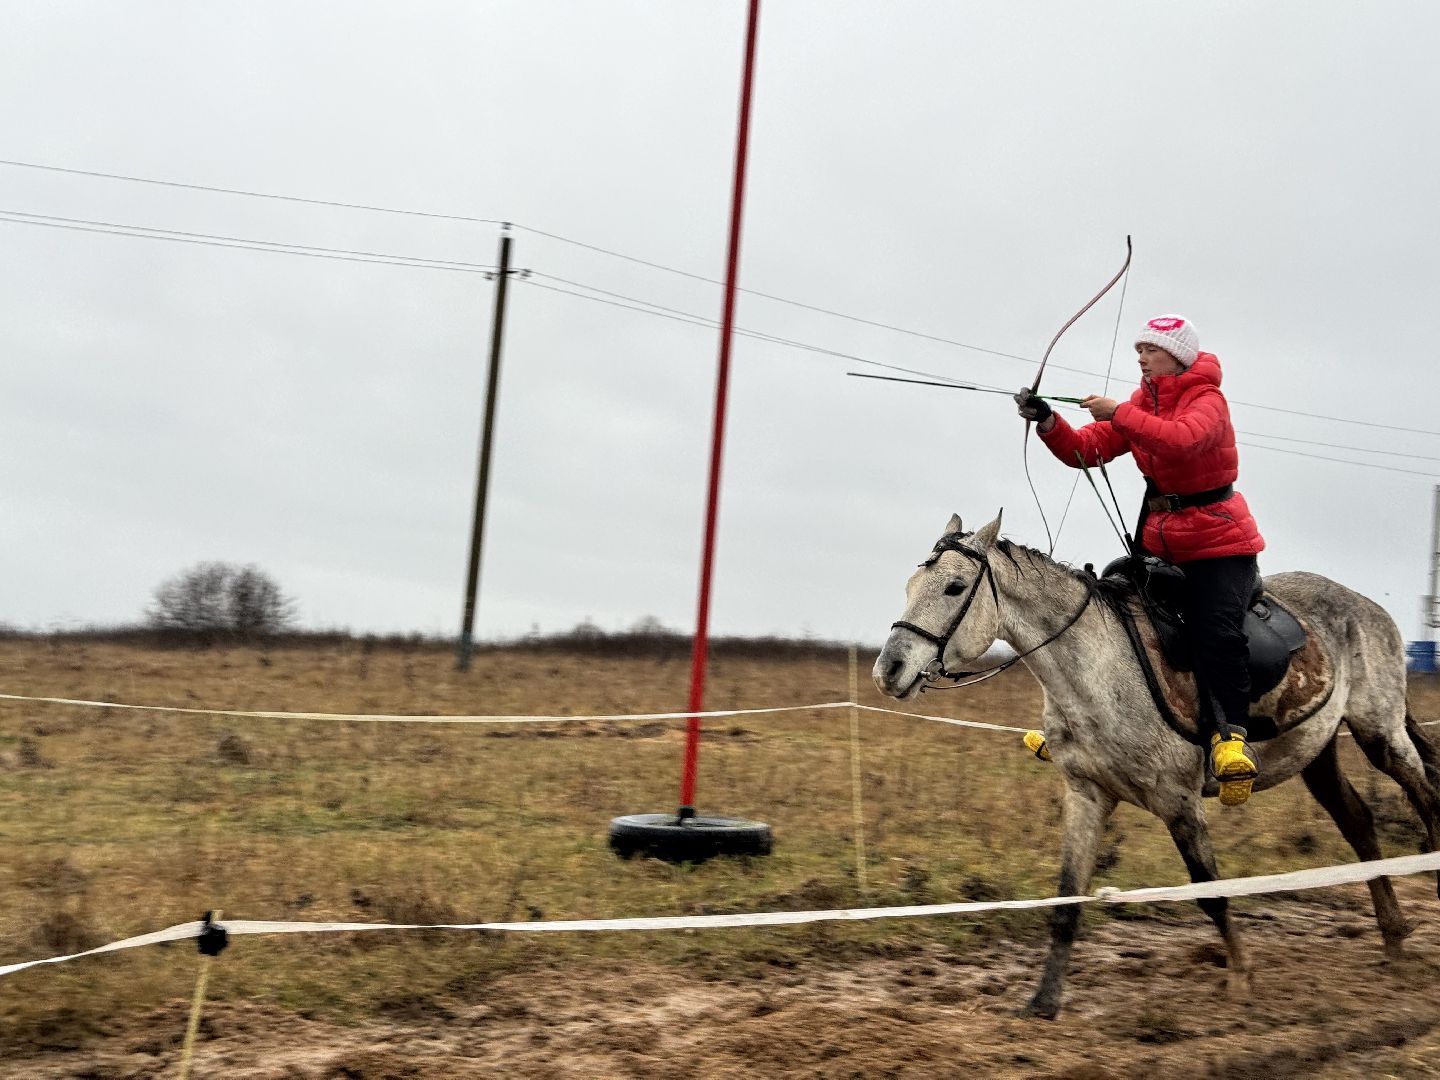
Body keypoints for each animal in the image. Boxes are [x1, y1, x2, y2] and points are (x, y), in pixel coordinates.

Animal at [872, 511, 1440, 1019]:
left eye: (954, 587)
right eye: (911, 583)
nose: (889, 670)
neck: (1098, 670)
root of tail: (1364, 605)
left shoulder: (1179, 802)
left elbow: (1211, 894)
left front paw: (1240, 977)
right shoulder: (1087, 796)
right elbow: (1066, 900)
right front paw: (1044, 1001)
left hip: (1380, 734)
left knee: (1425, 798)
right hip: (1316, 751)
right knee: (1359, 824)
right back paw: (1393, 936)